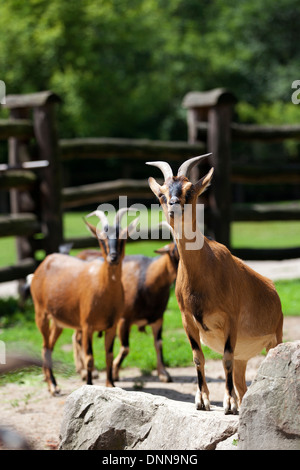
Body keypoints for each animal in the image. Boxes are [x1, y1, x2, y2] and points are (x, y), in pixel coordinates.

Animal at [30, 207, 138, 394]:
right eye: (101, 239)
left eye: (123, 238)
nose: (113, 257)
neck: (104, 290)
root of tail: (44, 263)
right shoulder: (87, 326)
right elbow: (89, 358)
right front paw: (89, 384)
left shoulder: (111, 326)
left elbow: (109, 355)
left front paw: (110, 385)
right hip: (41, 314)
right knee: (44, 347)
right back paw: (53, 386)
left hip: (58, 322)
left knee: (49, 346)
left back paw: (49, 381)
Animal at [75, 224, 178, 382]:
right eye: (174, 252)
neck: (146, 278)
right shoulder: (124, 319)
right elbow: (125, 348)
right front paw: (115, 372)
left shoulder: (158, 318)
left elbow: (159, 343)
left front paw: (163, 373)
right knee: (79, 339)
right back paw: (85, 372)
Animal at [146, 156, 282, 414]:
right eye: (161, 193)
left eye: (190, 190)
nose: (174, 205)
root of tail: (274, 291)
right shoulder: (187, 319)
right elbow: (198, 357)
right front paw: (202, 401)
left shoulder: (230, 320)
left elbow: (225, 358)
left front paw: (228, 404)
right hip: (243, 358)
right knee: (242, 385)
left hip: (275, 339)